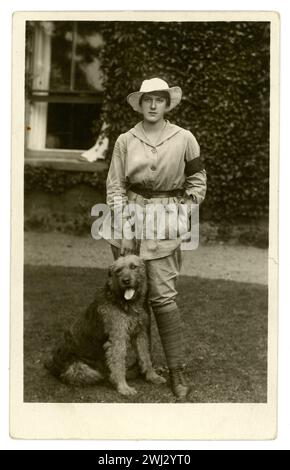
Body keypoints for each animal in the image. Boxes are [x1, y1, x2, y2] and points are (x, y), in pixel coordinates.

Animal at [44, 255, 164, 394]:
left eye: (133, 266)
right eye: (118, 270)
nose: (126, 281)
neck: (125, 302)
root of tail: (52, 366)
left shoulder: (140, 334)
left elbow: (145, 357)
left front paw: (152, 376)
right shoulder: (118, 339)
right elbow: (118, 364)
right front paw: (123, 387)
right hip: (82, 369)